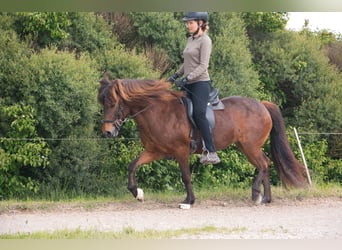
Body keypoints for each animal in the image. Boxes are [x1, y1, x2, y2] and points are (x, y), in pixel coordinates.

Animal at [97, 75, 308, 208]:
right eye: (103, 103)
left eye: (113, 103)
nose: (107, 132)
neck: (158, 111)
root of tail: (262, 105)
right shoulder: (154, 151)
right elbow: (132, 165)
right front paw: (137, 193)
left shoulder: (181, 151)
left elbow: (185, 176)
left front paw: (189, 201)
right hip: (246, 146)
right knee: (265, 164)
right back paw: (265, 199)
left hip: (250, 147)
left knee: (264, 164)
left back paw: (257, 195)